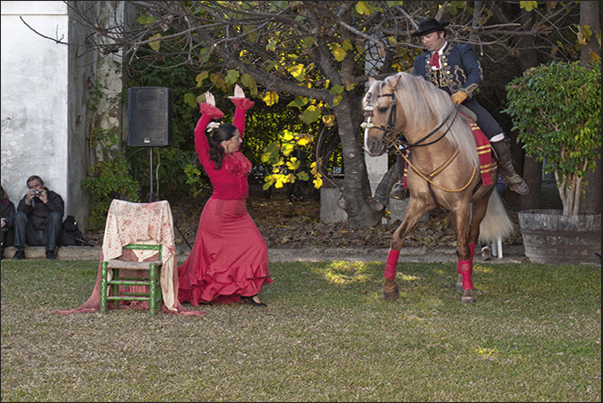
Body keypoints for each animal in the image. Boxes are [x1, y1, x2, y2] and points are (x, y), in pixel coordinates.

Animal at [364, 72, 510, 304]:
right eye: (365, 109)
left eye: (384, 108)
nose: (371, 146)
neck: (434, 152)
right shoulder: (419, 203)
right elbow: (397, 238)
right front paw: (389, 287)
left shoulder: (461, 205)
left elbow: (462, 247)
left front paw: (468, 292)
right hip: (450, 210)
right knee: (462, 237)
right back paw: (460, 278)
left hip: (480, 201)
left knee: (470, 237)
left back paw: (464, 281)